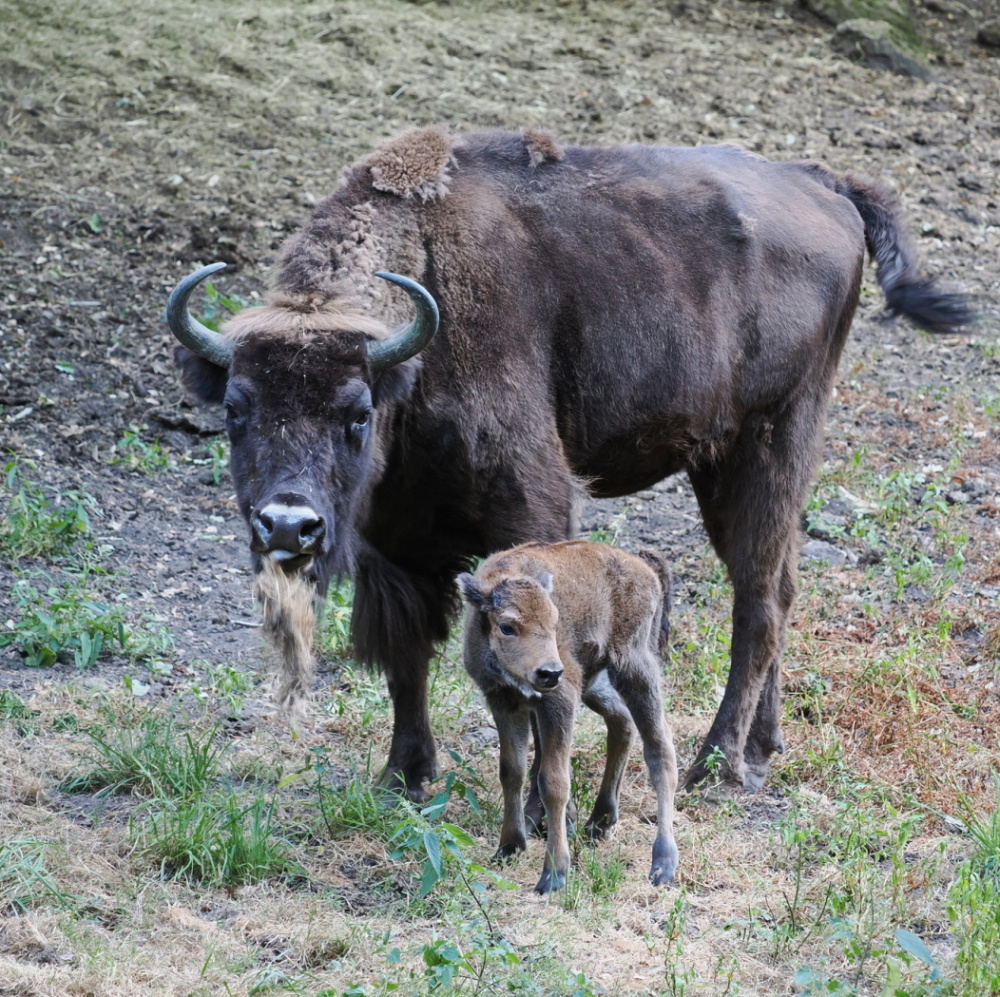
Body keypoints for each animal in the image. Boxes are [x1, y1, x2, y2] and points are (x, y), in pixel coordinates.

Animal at [168, 124, 972, 796]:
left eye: (356, 413)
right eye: (234, 411)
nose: (287, 525)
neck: (415, 350)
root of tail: (825, 183)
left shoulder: (529, 502)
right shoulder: (391, 547)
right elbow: (406, 661)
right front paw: (404, 774)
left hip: (771, 441)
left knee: (760, 599)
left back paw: (714, 764)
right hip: (736, 464)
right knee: (780, 583)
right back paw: (761, 747)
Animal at [458, 540, 680, 892]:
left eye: (554, 621)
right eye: (507, 626)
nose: (550, 672)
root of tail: (641, 565)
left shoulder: (559, 700)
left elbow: (553, 781)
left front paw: (554, 874)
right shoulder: (504, 702)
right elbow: (512, 771)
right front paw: (508, 847)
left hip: (633, 667)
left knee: (660, 748)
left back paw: (663, 864)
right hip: (594, 684)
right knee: (622, 723)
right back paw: (600, 823)